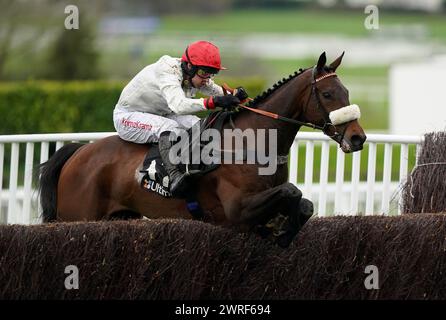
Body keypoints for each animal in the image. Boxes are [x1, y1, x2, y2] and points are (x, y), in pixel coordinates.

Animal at [38, 52, 366, 248]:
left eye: (347, 92)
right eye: (328, 94)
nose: (358, 138)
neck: (252, 141)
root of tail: (78, 153)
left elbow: (305, 202)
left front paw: (282, 227)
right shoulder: (236, 210)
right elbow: (292, 191)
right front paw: (282, 231)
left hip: (120, 217)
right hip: (77, 216)